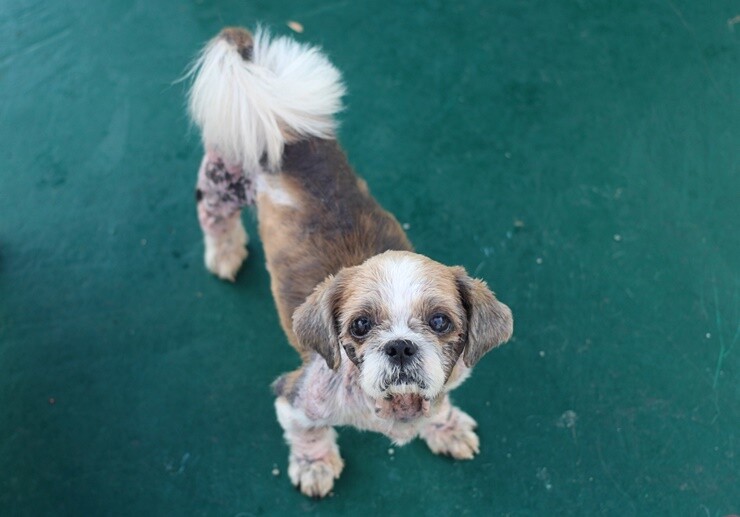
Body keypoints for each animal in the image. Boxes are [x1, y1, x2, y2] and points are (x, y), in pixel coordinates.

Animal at [188, 27, 512, 496]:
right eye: (359, 325)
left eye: (440, 321)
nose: (399, 345)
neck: (396, 406)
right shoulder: (295, 397)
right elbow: (308, 432)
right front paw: (314, 465)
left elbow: (441, 404)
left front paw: (446, 427)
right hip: (221, 182)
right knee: (214, 219)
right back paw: (225, 253)